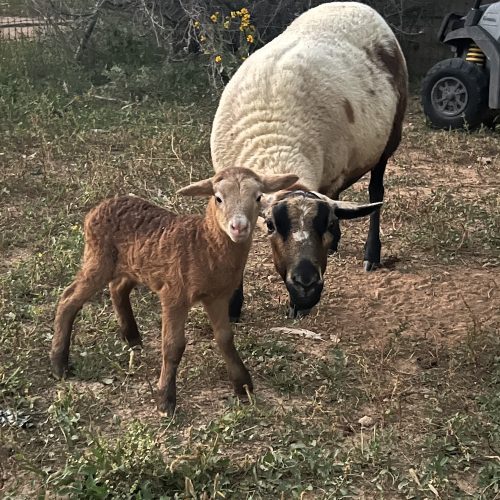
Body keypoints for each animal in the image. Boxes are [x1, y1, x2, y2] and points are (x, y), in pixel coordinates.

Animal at [50, 168, 296, 414]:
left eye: (258, 197)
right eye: (218, 198)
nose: (239, 227)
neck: (204, 245)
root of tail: (101, 206)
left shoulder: (217, 296)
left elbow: (225, 337)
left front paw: (243, 386)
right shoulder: (174, 294)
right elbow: (173, 345)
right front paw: (165, 399)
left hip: (132, 265)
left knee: (118, 289)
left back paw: (132, 338)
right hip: (98, 258)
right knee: (68, 299)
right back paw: (59, 364)